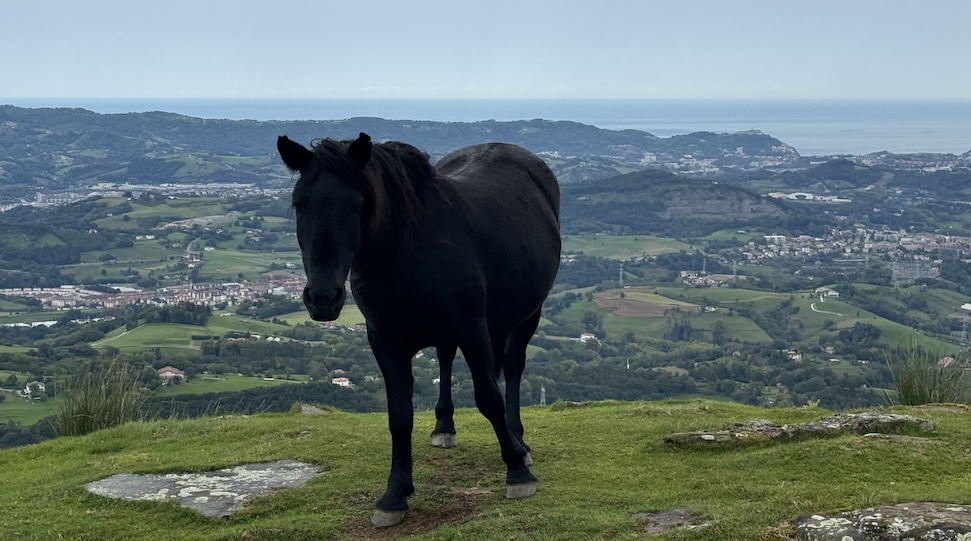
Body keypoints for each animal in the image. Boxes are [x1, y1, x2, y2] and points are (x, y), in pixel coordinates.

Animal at [278, 132, 560, 528]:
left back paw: (519, 441)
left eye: (356, 203)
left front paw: (517, 472)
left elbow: (489, 398)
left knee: (514, 369)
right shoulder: (384, 341)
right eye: (299, 203)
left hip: (528, 314)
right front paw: (394, 495)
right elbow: (399, 416)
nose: (322, 297)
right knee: (445, 357)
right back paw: (444, 427)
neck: (403, 252)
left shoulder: (472, 328)